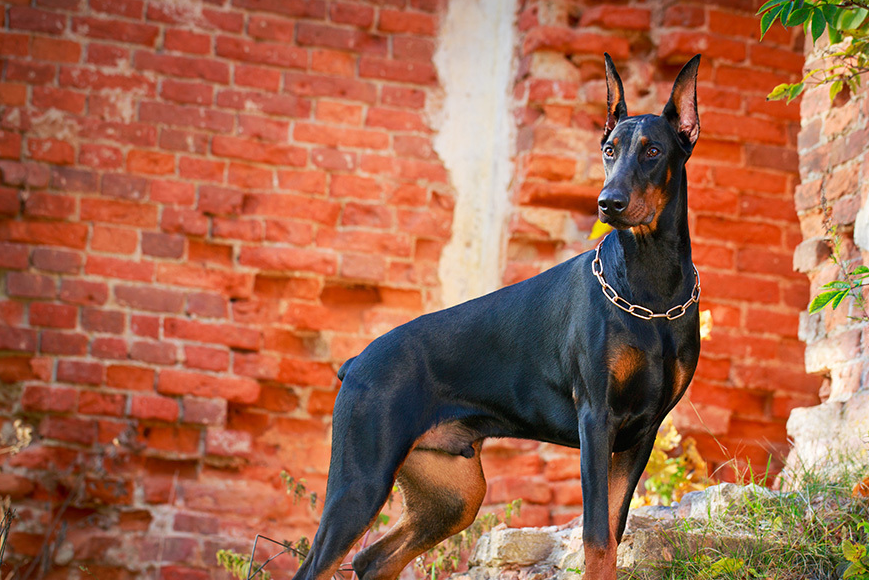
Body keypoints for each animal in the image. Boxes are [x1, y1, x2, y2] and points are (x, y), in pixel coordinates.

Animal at [294, 54, 700, 580]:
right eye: (609, 150)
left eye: (652, 151)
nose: (607, 202)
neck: (651, 292)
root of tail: (357, 361)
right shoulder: (597, 420)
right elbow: (595, 538)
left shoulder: (640, 435)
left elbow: (611, 536)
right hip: (362, 480)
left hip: (453, 494)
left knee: (372, 558)